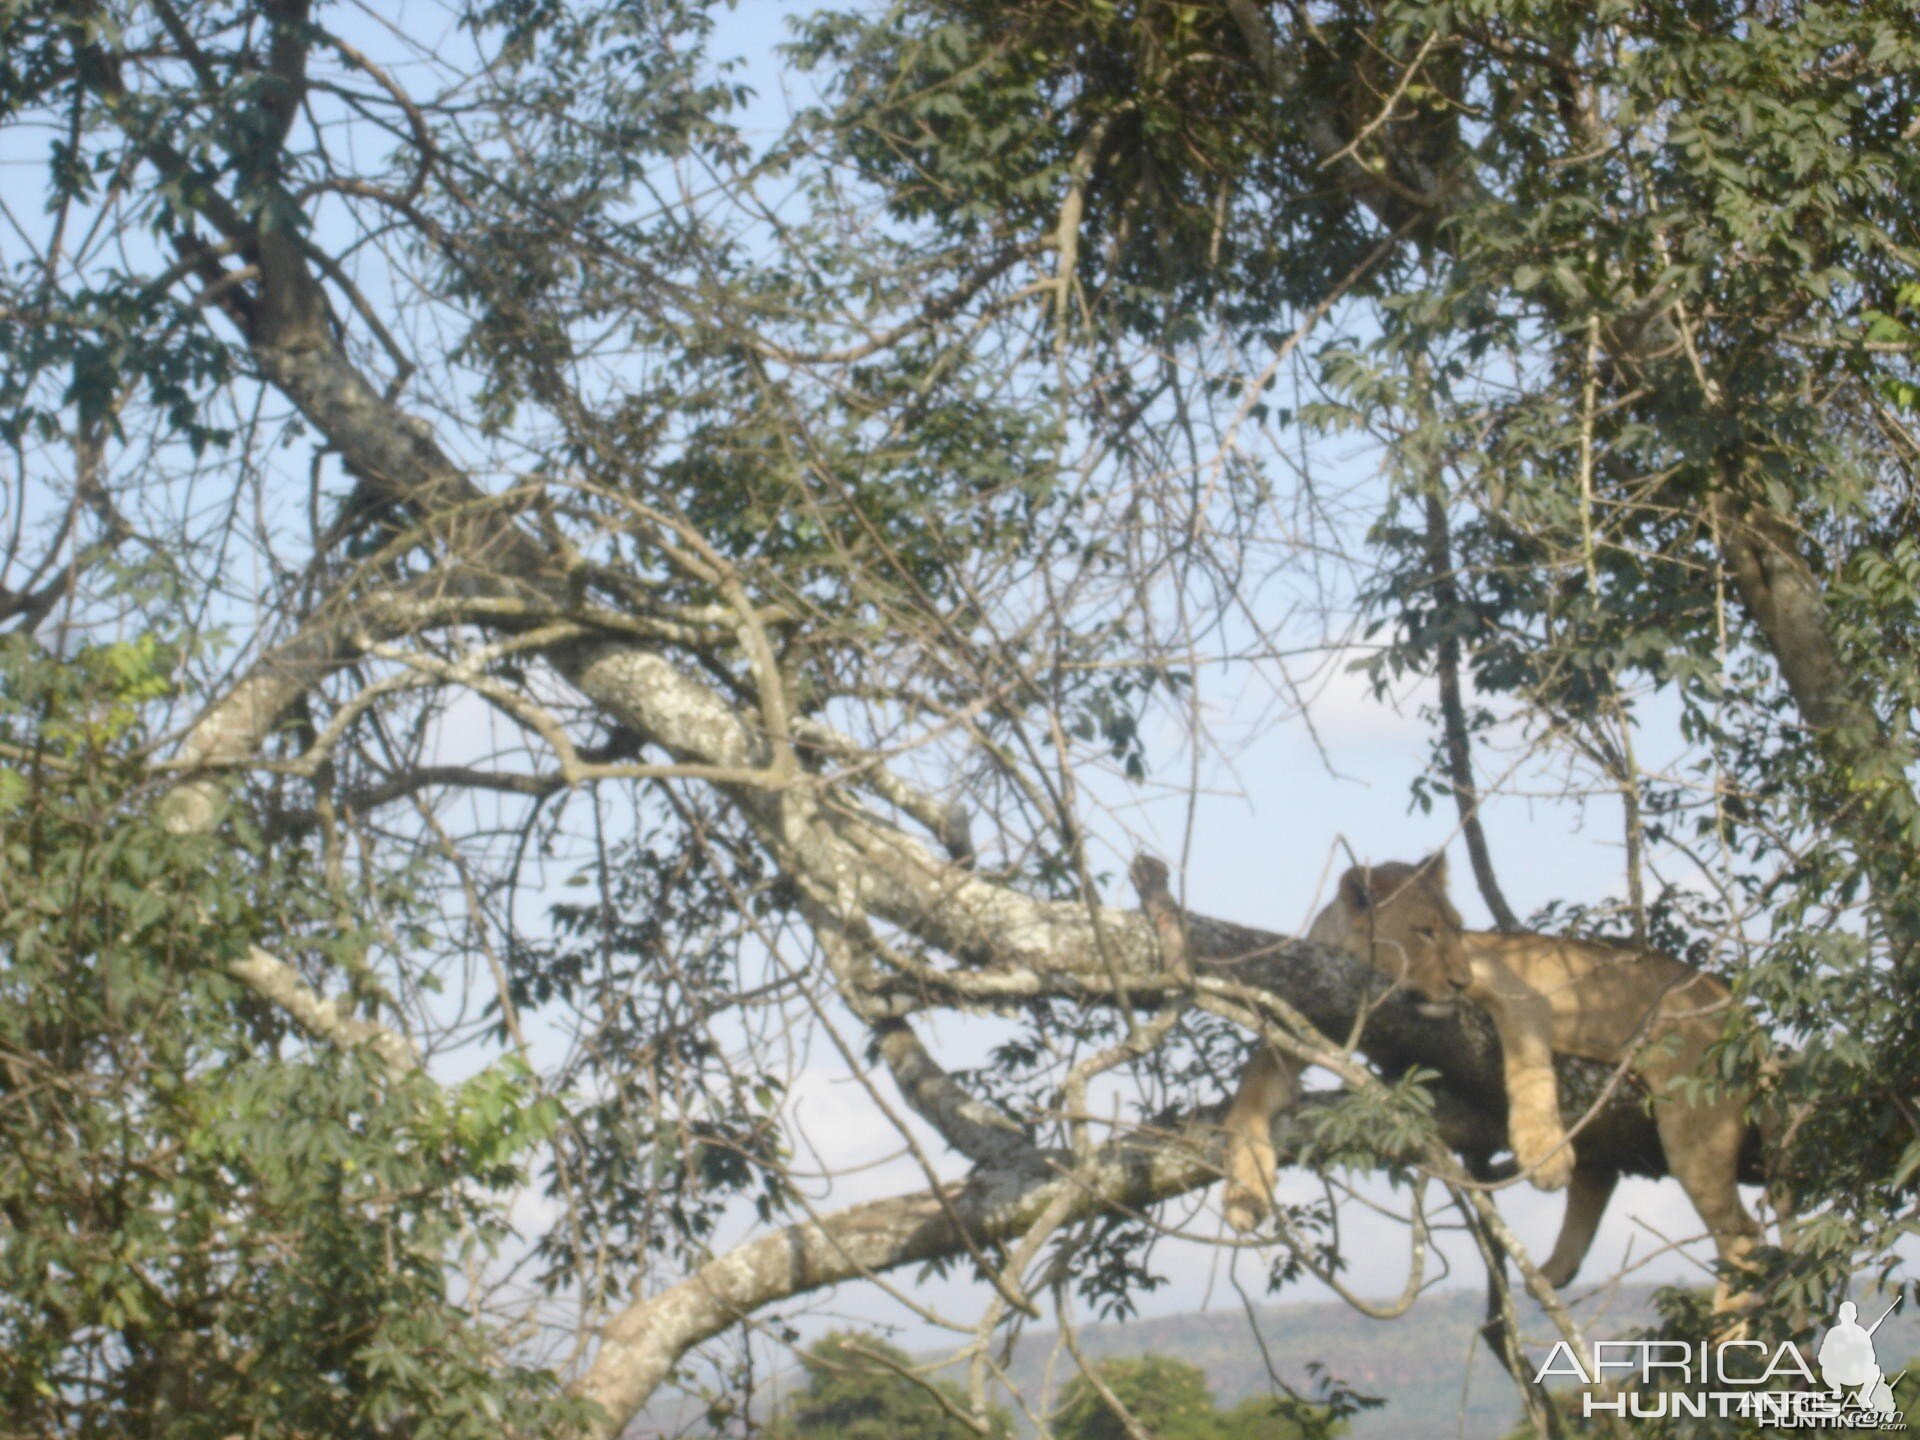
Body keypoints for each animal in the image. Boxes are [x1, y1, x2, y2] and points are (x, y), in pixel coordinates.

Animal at [1221, 856, 1758, 1297]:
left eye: (1459, 930)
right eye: (1425, 931)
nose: (1460, 981)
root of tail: (1732, 1001)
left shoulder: (1518, 994)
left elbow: (1528, 1066)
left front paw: (1543, 1151)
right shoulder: (1304, 1014)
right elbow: (1249, 1095)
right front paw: (1244, 1194)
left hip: (1695, 1120)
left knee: (1743, 1237)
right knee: (1600, 1176)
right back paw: (1556, 1270)